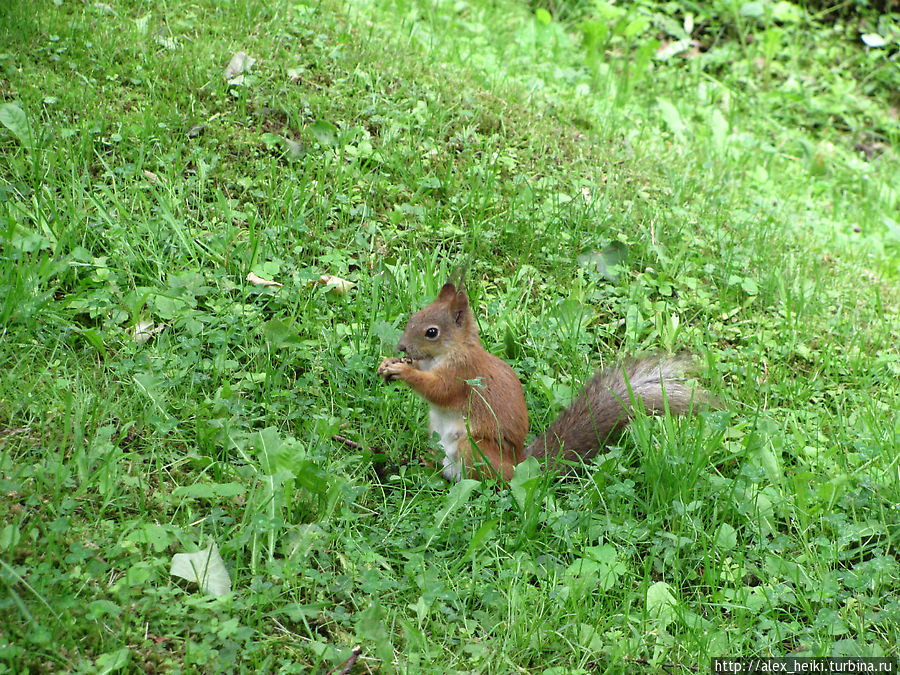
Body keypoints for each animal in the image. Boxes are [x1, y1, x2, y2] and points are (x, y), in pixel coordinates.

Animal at [376, 282, 708, 484]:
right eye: (414, 316)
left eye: (431, 332)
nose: (401, 346)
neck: (448, 353)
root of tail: (519, 468)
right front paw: (389, 363)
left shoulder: (463, 375)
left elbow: (439, 390)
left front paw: (405, 372)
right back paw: (426, 465)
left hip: (474, 449)